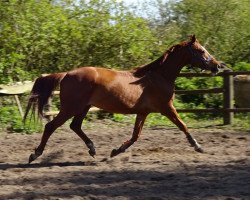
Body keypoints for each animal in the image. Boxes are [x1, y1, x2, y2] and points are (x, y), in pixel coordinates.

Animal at [24, 34, 223, 163]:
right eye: (201, 51)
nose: (217, 66)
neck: (158, 76)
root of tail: (66, 74)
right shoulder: (167, 108)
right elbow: (183, 125)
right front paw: (198, 146)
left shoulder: (143, 112)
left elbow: (136, 136)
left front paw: (115, 151)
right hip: (71, 107)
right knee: (51, 126)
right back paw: (35, 154)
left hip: (83, 107)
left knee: (75, 126)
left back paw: (92, 149)